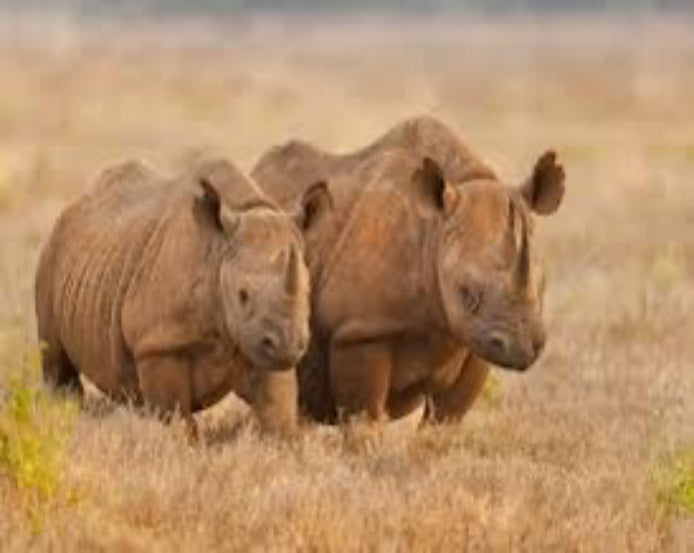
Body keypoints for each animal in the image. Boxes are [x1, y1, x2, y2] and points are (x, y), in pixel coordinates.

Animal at [35, 158, 330, 437]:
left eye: (308, 292)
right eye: (242, 295)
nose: (287, 346)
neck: (219, 251)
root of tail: (74, 206)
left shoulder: (260, 344)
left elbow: (277, 413)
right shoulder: (158, 344)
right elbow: (178, 419)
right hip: (51, 253)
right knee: (56, 364)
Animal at [252, 116, 565, 424]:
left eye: (543, 284)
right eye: (467, 293)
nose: (524, 348)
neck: (436, 231)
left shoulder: (476, 343)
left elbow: (446, 417)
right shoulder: (359, 330)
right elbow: (365, 417)